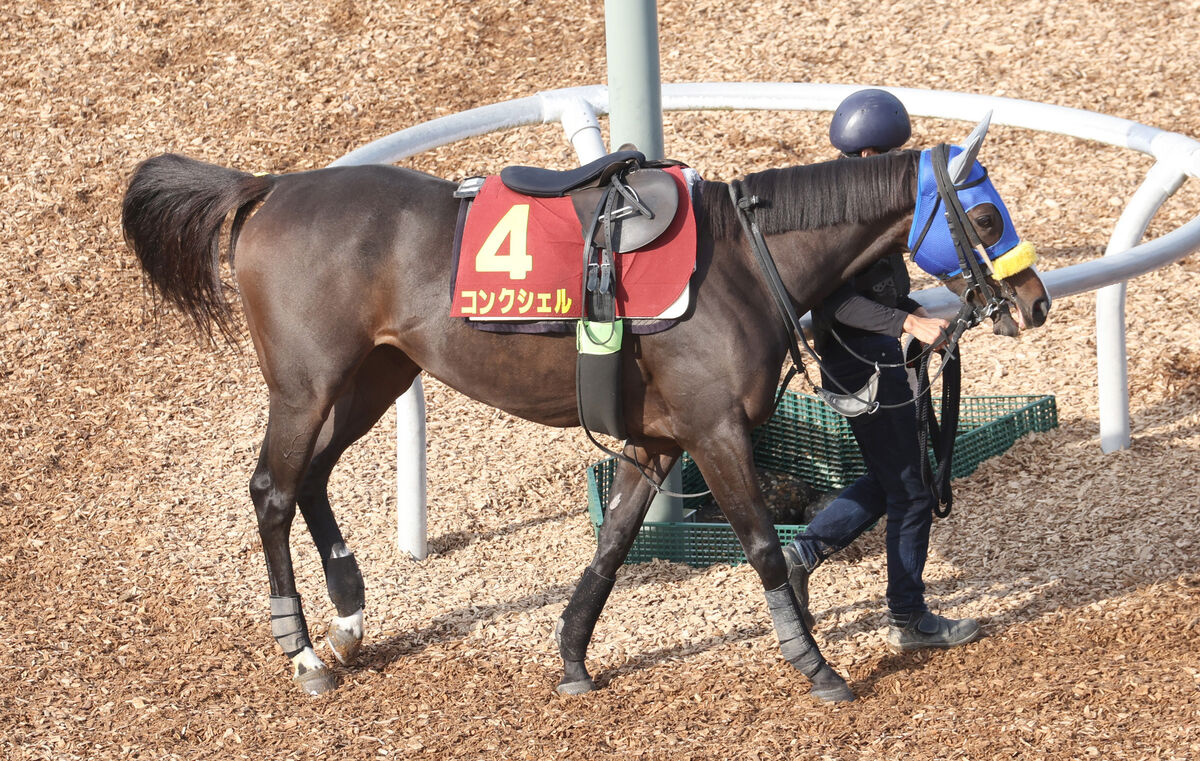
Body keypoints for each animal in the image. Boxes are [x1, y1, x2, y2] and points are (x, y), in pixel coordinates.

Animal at [121, 115, 1051, 700]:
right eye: (984, 215)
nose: (1034, 301)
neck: (740, 265)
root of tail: (271, 187)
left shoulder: (659, 441)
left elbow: (610, 551)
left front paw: (571, 656)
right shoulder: (716, 432)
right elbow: (762, 547)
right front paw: (814, 663)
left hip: (374, 375)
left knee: (312, 479)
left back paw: (348, 621)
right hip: (306, 384)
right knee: (273, 490)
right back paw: (307, 650)